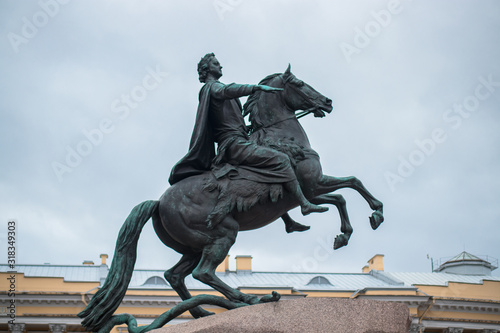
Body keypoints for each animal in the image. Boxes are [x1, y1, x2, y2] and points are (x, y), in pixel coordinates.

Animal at [77, 63, 382, 330]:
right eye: (298, 83)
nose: (327, 102)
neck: (281, 138)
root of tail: (159, 202)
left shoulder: (311, 190)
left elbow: (347, 190)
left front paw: (349, 229)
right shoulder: (312, 187)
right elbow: (347, 190)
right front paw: (366, 219)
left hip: (193, 245)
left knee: (175, 275)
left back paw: (202, 313)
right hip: (223, 232)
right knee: (203, 273)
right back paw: (246, 298)